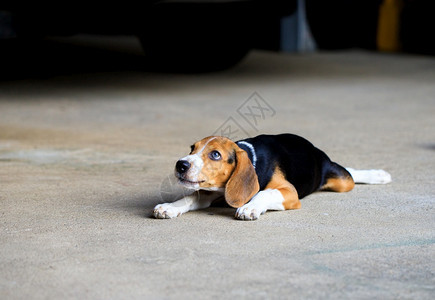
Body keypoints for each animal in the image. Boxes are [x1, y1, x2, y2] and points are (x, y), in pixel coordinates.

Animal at [153, 134, 392, 220]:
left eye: (215, 154)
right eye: (192, 149)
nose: (181, 164)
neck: (252, 158)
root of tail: (315, 150)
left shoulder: (289, 193)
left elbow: (265, 194)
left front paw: (250, 207)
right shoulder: (219, 190)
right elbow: (190, 198)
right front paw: (170, 207)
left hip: (341, 181)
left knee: (349, 174)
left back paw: (377, 175)